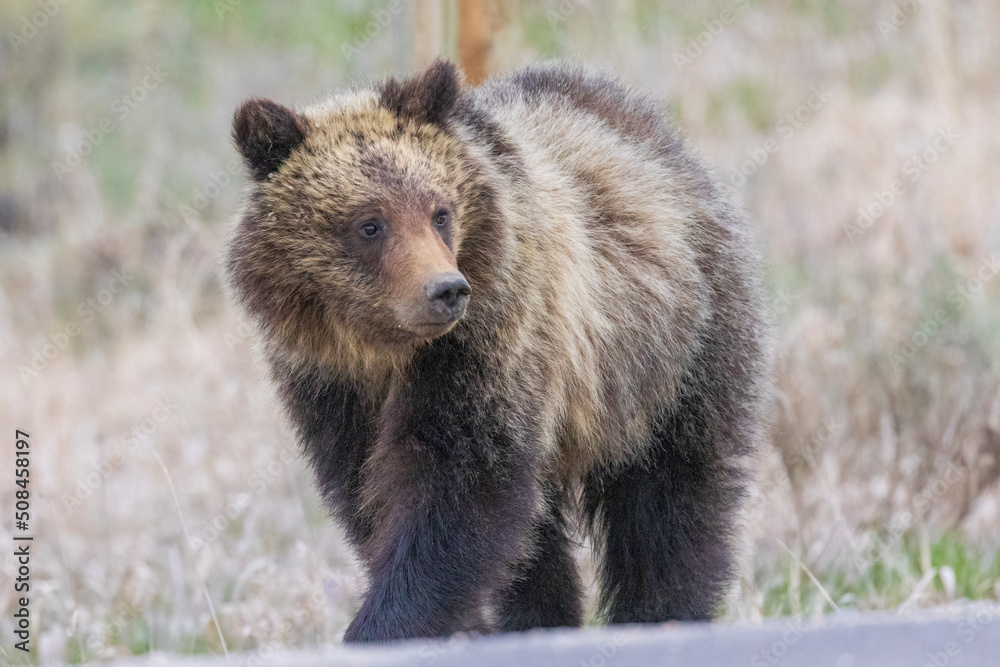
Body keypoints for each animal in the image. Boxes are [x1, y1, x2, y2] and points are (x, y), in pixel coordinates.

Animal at [225, 59, 770, 643]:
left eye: (439, 212)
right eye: (369, 224)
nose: (446, 290)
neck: (385, 352)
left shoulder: (491, 343)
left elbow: (460, 491)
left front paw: (381, 626)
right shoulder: (329, 386)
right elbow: (373, 496)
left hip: (670, 357)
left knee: (670, 507)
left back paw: (659, 614)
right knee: (541, 540)